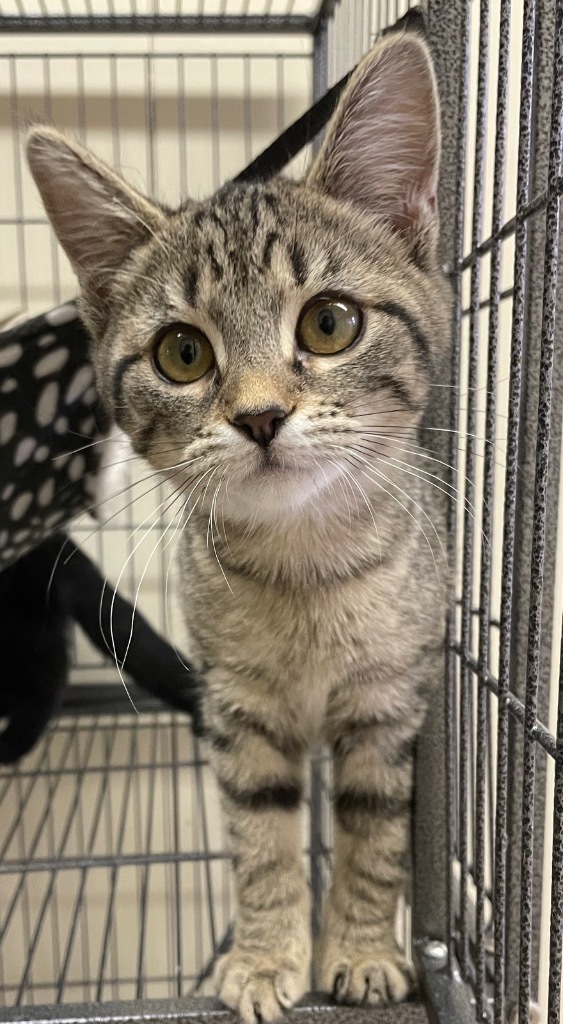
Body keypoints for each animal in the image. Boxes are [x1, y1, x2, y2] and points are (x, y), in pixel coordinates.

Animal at [25, 25, 450, 1024]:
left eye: (330, 323)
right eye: (182, 352)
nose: (259, 416)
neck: (307, 571)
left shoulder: (389, 704)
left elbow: (374, 835)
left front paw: (361, 949)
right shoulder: (237, 706)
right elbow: (260, 837)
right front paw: (261, 959)